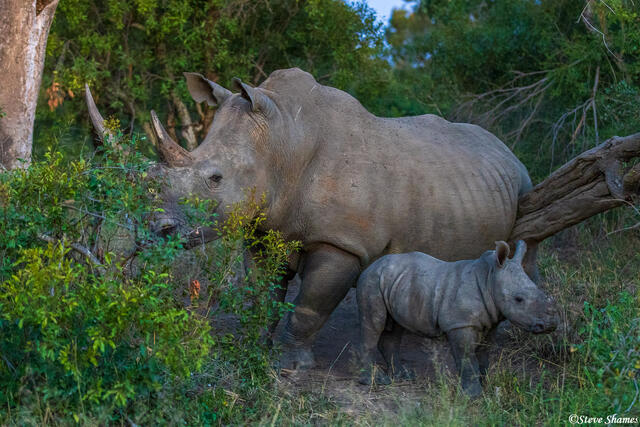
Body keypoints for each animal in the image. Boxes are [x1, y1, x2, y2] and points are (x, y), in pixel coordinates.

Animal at [86, 67, 537, 370]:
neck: (282, 141)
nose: (155, 229)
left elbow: (309, 307)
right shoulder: (263, 229)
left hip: (524, 184)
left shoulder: (342, 243)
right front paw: (254, 347)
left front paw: (292, 365)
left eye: (215, 179)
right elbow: (263, 295)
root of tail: (507, 150)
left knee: (521, 255)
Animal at [356, 240, 558, 396]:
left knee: (396, 327)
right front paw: (472, 395)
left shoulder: (490, 323)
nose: (550, 325)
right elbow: (466, 358)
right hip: (371, 281)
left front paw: (486, 384)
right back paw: (374, 381)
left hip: (396, 282)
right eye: (518, 299)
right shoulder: (460, 324)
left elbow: (484, 354)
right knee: (374, 323)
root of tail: (371, 265)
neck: (490, 278)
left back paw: (404, 376)